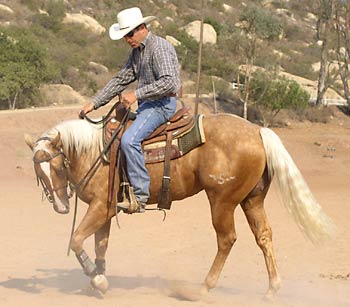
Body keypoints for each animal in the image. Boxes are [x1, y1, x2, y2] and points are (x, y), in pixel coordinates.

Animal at [23, 109, 334, 298]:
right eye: (39, 174)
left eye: (57, 168)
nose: (61, 207)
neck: (96, 151)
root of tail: (258, 131)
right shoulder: (107, 211)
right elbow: (101, 245)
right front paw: (98, 280)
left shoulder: (101, 207)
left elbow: (76, 239)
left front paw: (95, 278)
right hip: (252, 199)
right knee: (264, 236)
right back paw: (272, 289)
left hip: (222, 201)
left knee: (227, 239)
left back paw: (204, 288)